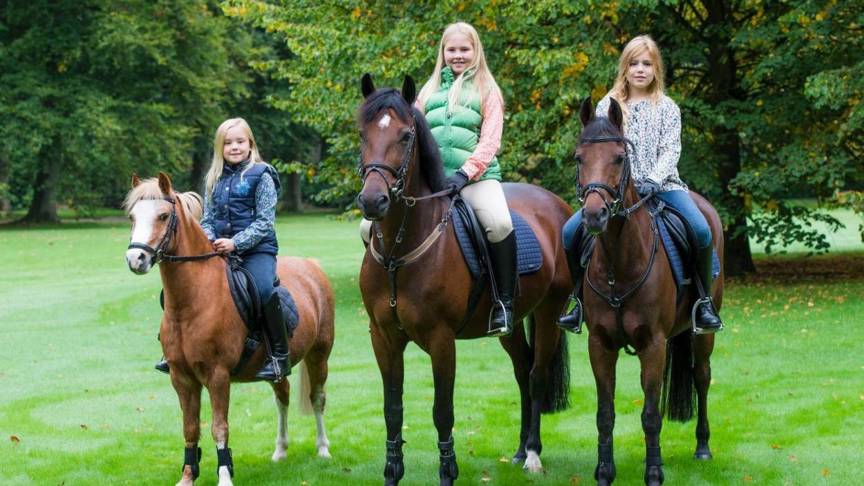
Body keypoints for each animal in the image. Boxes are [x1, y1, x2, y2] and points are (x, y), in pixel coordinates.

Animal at [125, 175, 334, 486]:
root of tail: (312, 266)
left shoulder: (218, 375)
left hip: (319, 355)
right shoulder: (181, 378)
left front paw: (224, 476)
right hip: (277, 369)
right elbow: (190, 428)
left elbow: (219, 427)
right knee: (282, 396)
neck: (194, 300)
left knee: (317, 398)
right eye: (133, 217)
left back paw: (322, 449)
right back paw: (280, 451)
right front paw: (187, 476)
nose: (136, 259)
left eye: (163, 216)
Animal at [356, 74, 572, 484]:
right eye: (362, 133)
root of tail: (557, 205)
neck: (399, 251)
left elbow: (443, 412)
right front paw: (392, 472)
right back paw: (519, 451)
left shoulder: (442, 341)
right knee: (522, 369)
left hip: (550, 313)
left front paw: (447, 472)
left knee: (536, 375)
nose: (373, 201)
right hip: (512, 323)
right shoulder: (383, 338)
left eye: (405, 136)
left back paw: (533, 454)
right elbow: (393, 410)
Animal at [572, 99, 724, 486]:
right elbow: (605, 414)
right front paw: (604, 472)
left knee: (702, 377)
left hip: (703, 334)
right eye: (579, 158)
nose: (594, 216)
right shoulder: (600, 344)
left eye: (619, 158)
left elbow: (651, 415)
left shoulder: (653, 344)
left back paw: (703, 447)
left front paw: (654, 472)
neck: (618, 265)